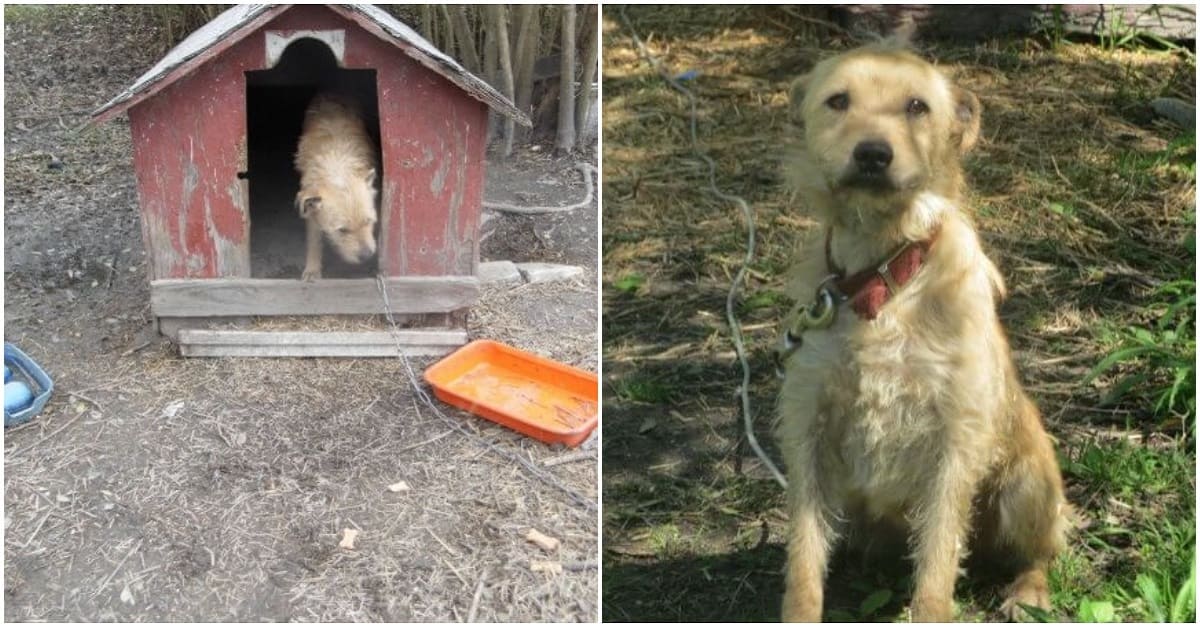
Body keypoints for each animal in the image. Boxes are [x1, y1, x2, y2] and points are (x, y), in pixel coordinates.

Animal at [292, 92, 376, 278]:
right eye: (342, 230)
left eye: (368, 221)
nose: (367, 256)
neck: (337, 165)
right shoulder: (311, 207)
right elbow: (314, 239)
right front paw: (312, 268)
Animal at [777, 34, 1070, 619]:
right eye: (838, 100)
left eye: (917, 106)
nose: (873, 153)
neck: (882, 280)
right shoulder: (809, 431)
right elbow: (803, 559)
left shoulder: (953, 445)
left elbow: (937, 561)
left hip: (1027, 486)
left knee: (1039, 551)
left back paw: (1027, 590)